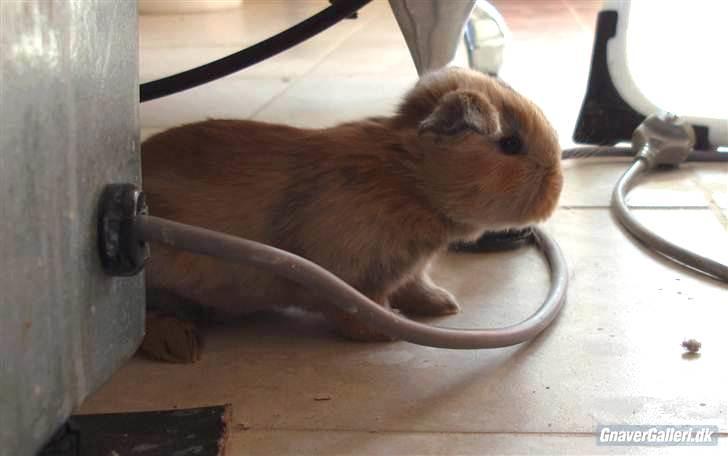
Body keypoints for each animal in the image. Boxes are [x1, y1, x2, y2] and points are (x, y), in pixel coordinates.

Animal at [141, 67, 564, 352]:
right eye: (511, 144)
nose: (557, 186)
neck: (409, 178)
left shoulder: (407, 270)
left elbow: (416, 287)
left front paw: (443, 306)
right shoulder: (352, 278)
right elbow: (357, 313)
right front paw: (391, 331)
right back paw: (179, 344)